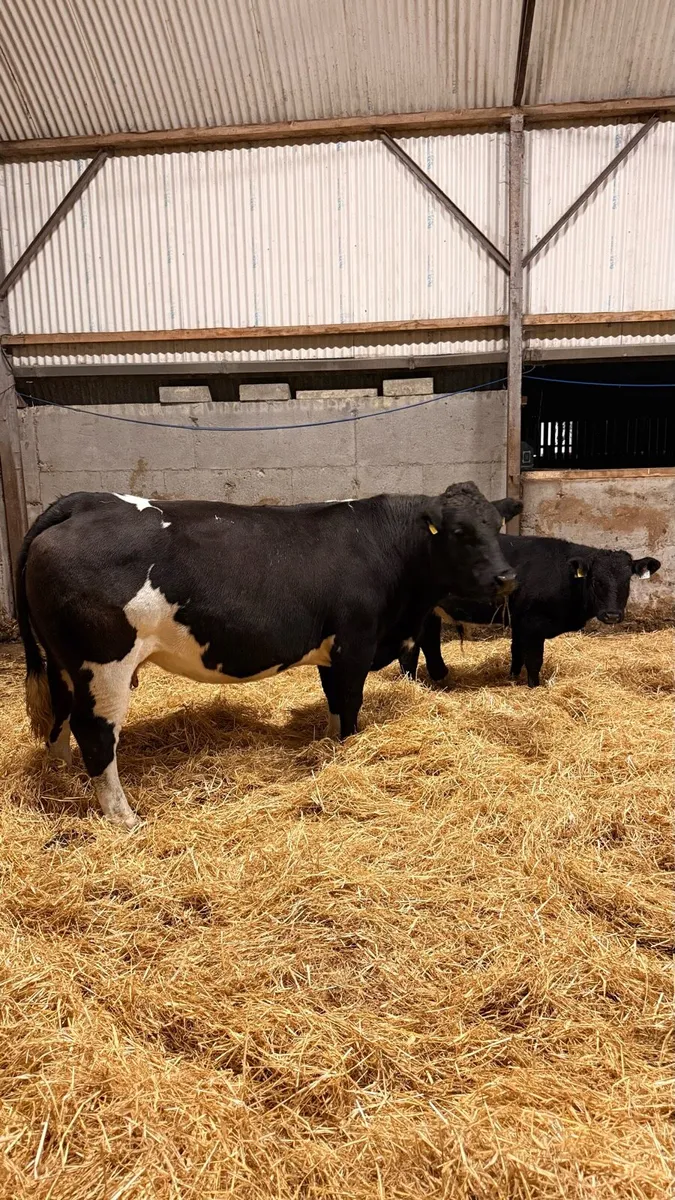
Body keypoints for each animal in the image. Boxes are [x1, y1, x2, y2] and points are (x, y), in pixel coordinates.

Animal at [17, 485, 517, 828]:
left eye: (496, 526)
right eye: (459, 532)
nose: (506, 577)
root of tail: (85, 501)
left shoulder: (331, 652)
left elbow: (334, 704)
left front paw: (328, 749)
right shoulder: (355, 645)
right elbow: (350, 707)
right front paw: (345, 754)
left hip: (63, 666)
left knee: (60, 720)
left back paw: (62, 778)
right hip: (104, 665)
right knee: (96, 735)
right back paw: (125, 819)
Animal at [399, 534, 660, 688]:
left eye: (627, 581)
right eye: (596, 581)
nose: (612, 615)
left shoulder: (519, 621)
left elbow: (517, 653)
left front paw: (513, 678)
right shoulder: (533, 624)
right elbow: (534, 660)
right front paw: (534, 686)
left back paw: (438, 676)